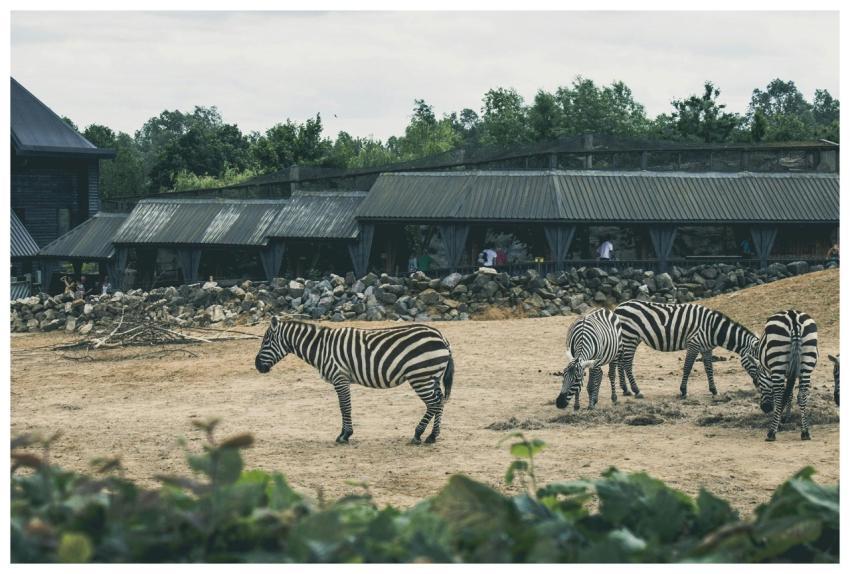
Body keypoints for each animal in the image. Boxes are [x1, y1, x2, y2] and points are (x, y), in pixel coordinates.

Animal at [255, 317, 454, 444]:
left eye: (265, 342)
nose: (257, 366)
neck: (321, 347)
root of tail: (441, 336)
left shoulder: (340, 378)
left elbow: (344, 406)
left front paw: (345, 435)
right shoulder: (342, 379)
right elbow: (345, 406)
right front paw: (345, 433)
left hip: (420, 376)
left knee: (434, 403)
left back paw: (419, 434)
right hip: (432, 376)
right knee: (440, 401)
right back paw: (432, 436)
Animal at [614, 300, 760, 399]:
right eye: (756, 365)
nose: (759, 387)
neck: (713, 329)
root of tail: (619, 306)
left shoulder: (706, 349)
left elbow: (709, 369)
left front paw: (714, 390)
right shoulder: (694, 344)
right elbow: (688, 367)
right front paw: (683, 391)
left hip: (629, 338)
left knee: (621, 363)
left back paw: (626, 390)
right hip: (630, 336)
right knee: (626, 363)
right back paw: (636, 390)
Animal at [754, 310, 819, 441]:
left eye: (758, 382)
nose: (765, 408)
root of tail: (793, 317)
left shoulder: (775, 373)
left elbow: (782, 395)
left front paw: (779, 422)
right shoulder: (791, 373)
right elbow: (789, 394)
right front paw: (786, 417)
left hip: (777, 362)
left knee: (779, 398)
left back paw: (771, 433)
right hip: (807, 363)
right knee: (802, 396)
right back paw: (805, 432)